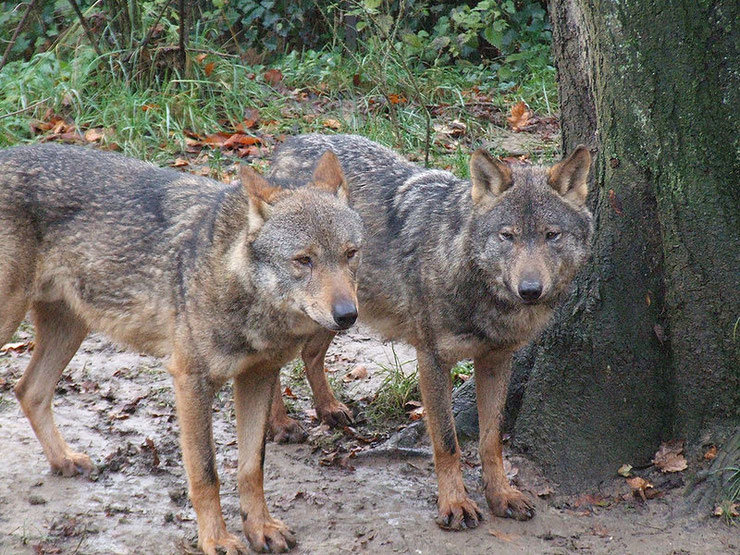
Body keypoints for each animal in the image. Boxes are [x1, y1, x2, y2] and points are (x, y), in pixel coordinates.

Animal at [0, 144, 364, 555]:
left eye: (350, 253)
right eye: (304, 260)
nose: (347, 315)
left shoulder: (257, 377)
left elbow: (251, 467)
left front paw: (260, 529)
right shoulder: (191, 382)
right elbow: (206, 473)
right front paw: (217, 539)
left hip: (70, 328)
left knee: (29, 391)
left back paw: (63, 459)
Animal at [268, 135, 592, 528]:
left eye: (551, 235)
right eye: (507, 236)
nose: (530, 290)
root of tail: (291, 143)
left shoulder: (496, 359)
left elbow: (491, 439)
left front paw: (501, 495)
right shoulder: (433, 360)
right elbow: (447, 442)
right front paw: (455, 504)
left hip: (339, 314)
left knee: (310, 355)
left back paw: (330, 409)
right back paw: (280, 424)